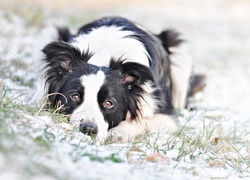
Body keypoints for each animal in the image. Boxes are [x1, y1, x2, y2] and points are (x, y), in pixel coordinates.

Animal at [41, 17, 205, 143]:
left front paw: (119, 132)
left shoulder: (167, 117)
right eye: (74, 96)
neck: (103, 57)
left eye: (109, 103)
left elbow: (142, 120)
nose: (88, 129)